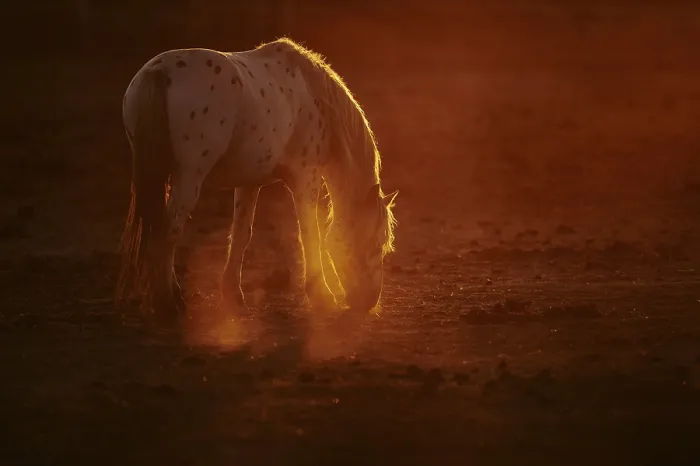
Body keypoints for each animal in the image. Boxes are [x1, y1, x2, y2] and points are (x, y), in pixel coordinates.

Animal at [116, 37, 398, 323]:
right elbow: (310, 234)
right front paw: (322, 296)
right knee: (168, 230)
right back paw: (168, 303)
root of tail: (158, 71)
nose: (368, 302)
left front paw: (233, 295)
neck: (311, 94)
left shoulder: (249, 182)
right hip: (188, 177)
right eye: (376, 242)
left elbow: (241, 234)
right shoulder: (306, 177)